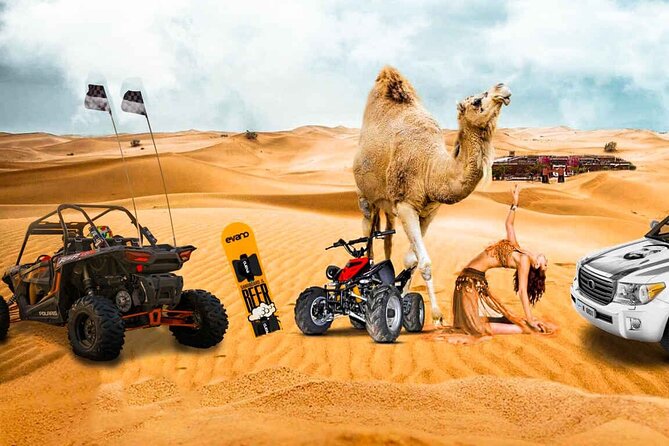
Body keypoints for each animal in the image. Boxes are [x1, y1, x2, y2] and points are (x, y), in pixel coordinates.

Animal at [353, 66, 511, 325]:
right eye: (476, 101)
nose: (502, 87)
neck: (431, 168)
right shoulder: (406, 204)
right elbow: (425, 262)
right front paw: (437, 315)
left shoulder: (429, 211)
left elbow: (412, 260)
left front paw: (402, 298)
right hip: (366, 197)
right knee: (368, 238)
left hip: (388, 205)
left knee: (386, 239)